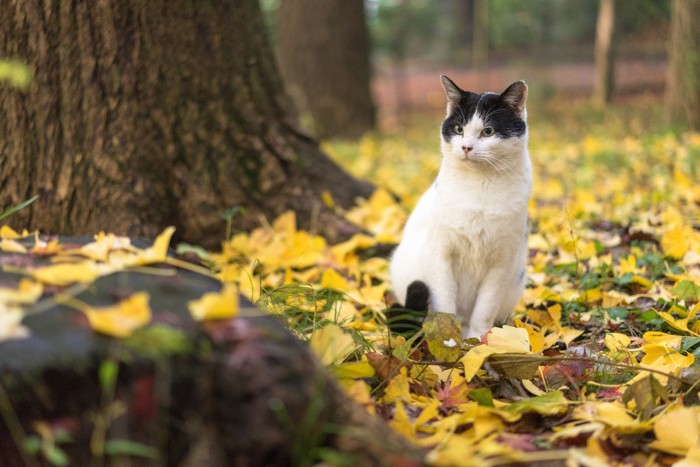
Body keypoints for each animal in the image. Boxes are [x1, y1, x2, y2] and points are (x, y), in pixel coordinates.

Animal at [388, 76, 532, 340]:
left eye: (488, 131)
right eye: (458, 129)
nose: (466, 147)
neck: (479, 187)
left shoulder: (501, 262)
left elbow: (485, 307)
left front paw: (479, 340)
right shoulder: (440, 253)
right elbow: (445, 302)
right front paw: (447, 339)